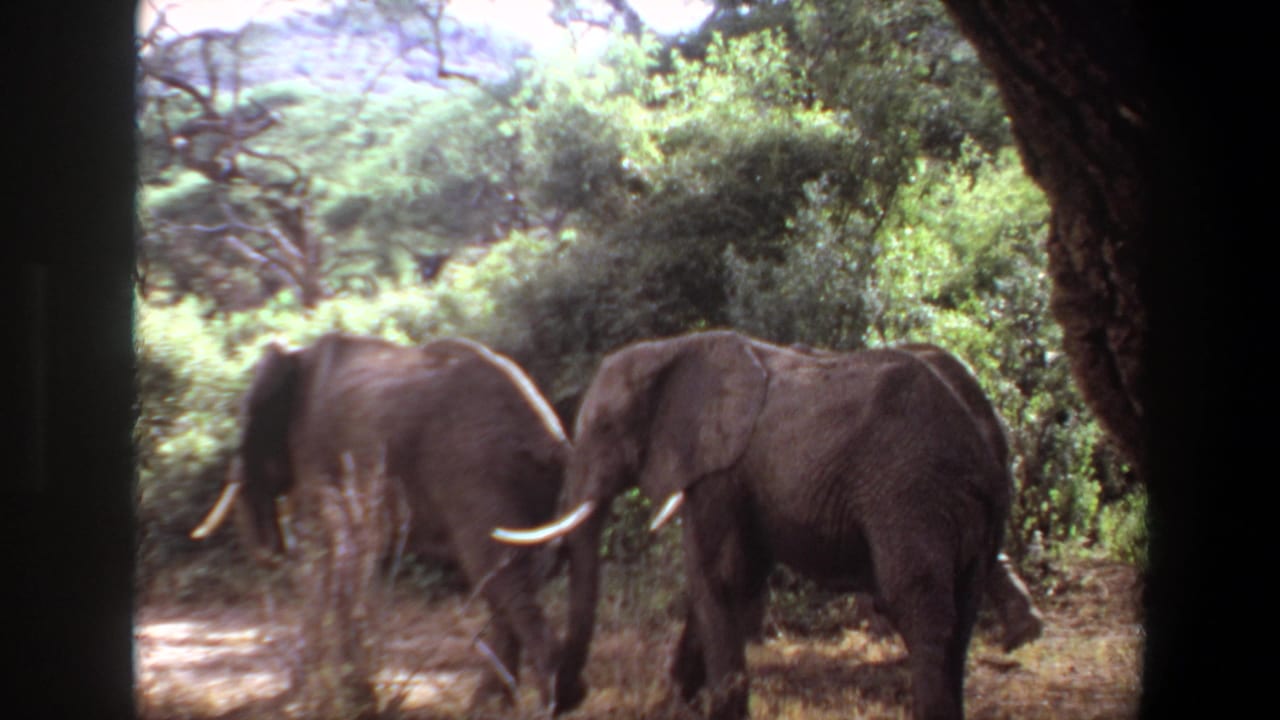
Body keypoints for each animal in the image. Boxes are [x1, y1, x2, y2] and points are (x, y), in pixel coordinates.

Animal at [190, 331, 570, 709]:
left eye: (247, 421)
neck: (297, 354)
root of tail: (550, 434)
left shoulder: (313, 449)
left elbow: (320, 555)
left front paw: (325, 695)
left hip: (480, 474)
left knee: (498, 573)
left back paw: (547, 700)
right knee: (507, 578)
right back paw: (493, 704)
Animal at [495, 330, 1024, 720]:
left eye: (604, 429)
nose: (563, 701)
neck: (671, 349)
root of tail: (984, 447)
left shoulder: (718, 471)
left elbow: (719, 576)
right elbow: (732, 580)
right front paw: (680, 703)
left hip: (909, 493)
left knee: (918, 605)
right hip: (972, 510)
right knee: (964, 608)